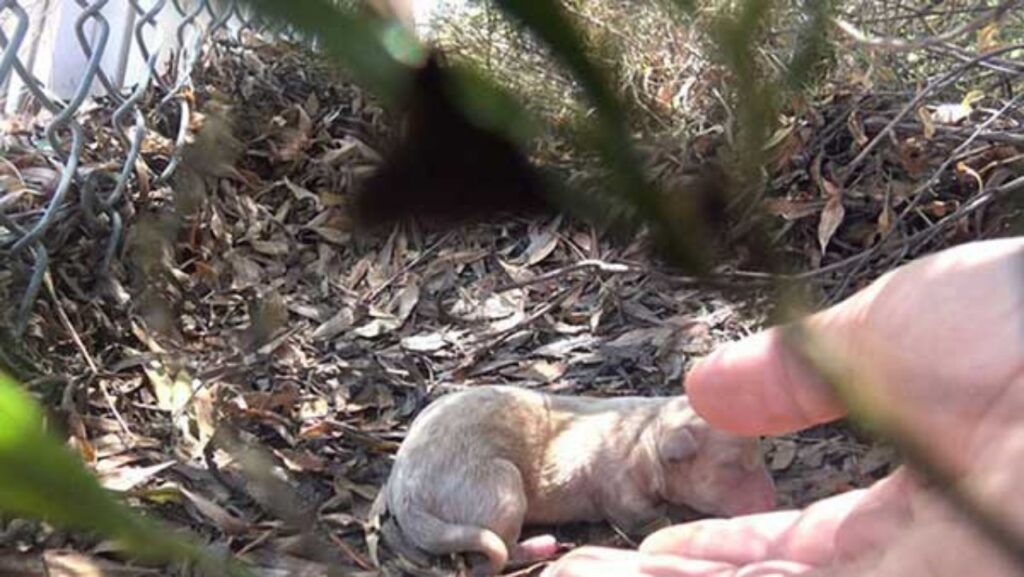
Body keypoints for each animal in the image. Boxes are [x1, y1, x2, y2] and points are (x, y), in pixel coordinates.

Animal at [385, 385, 774, 573]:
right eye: (730, 466)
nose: (772, 503)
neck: (646, 435)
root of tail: (404, 492)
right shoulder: (617, 486)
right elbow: (636, 515)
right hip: (490, 483)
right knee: (503, 545)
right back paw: (541, 544)